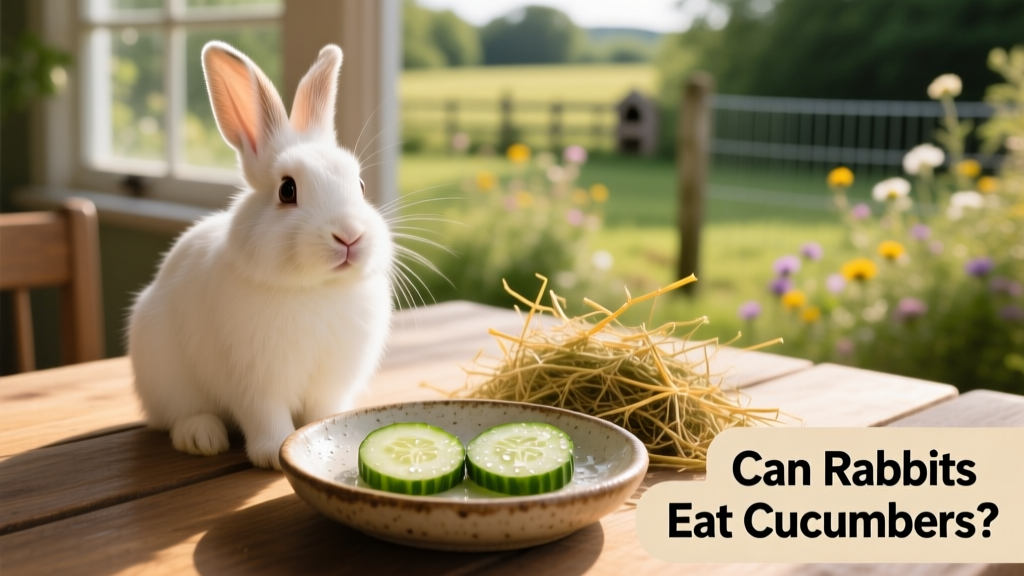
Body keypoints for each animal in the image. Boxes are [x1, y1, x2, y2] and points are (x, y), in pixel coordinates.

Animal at [128, 41, 393, 470]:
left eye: (360, 185)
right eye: (287, 190)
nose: (349, 236)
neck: (316, 289)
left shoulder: (330, 383)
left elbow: (324, 411)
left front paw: (330, 434)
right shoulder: (255, 382)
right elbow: (266, 416)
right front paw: (272, 453)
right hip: (164, 374)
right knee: (177, 416)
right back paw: (202, 436)